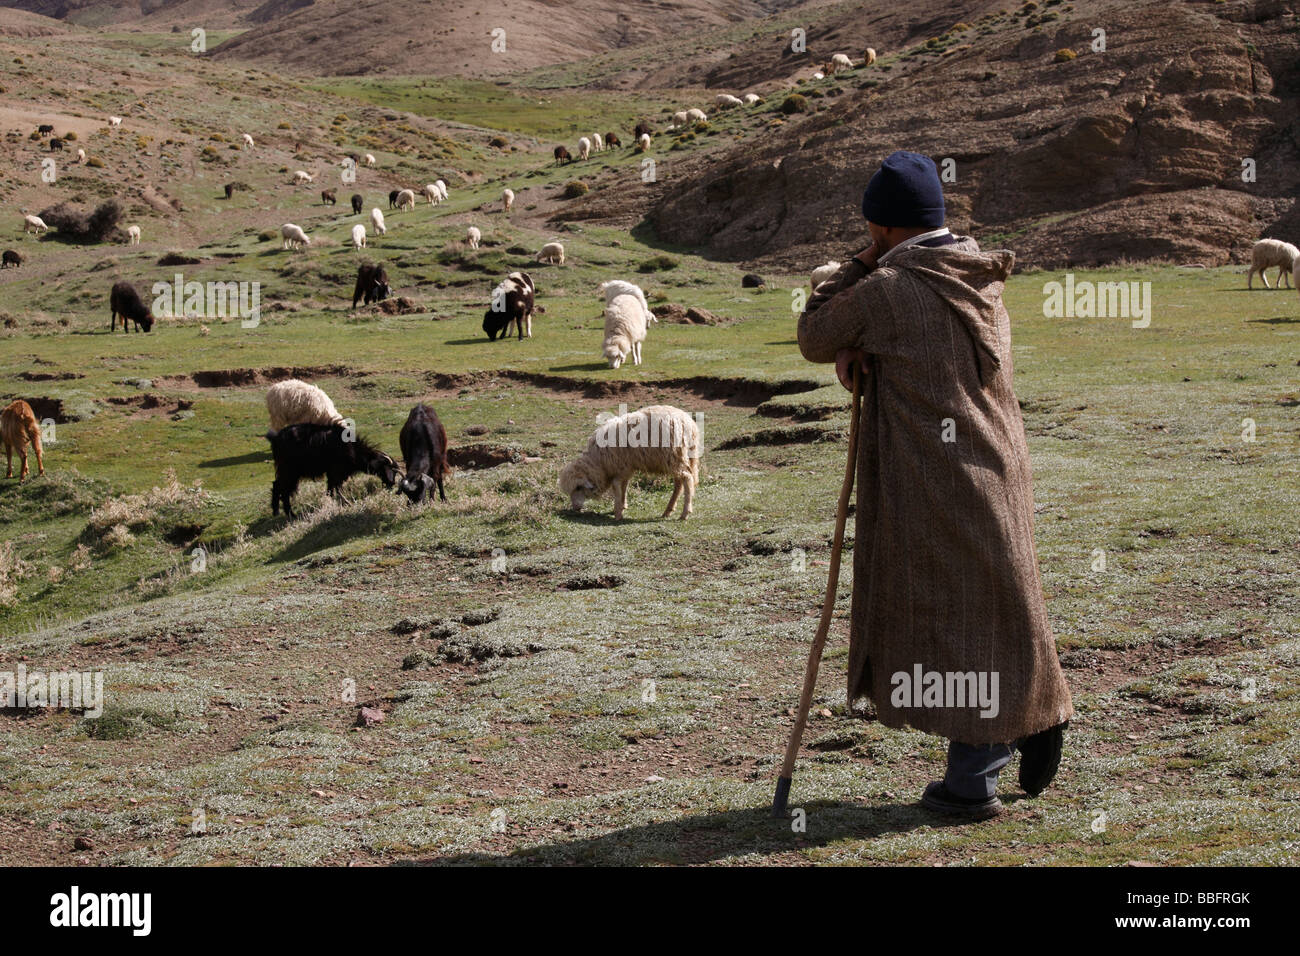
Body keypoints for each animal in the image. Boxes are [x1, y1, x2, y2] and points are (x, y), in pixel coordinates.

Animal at [266, 421, 397, 520]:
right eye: (388, 469)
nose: (392, 484)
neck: (353, 449)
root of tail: (275, 438)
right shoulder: (337, 471)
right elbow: (337, 487)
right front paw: (345, 503)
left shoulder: (332, 473)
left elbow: (330, 489)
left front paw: (331, 502)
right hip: (289, 471)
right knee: (282, 488)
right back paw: (290, 514)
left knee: (278, 486)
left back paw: (277, 512)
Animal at [559, 405, 702, 522]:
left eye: (578, 488)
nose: (575, 508)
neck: (599, 462)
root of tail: (689, 424)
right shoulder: (627, 467)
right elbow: (624, 485)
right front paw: (622, 506)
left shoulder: (622, 466)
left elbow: (616, 485)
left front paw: (618, 513)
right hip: (679, 458)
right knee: (679, 483)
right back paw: (668, 510)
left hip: (673, 455)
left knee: (687, 479)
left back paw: (684, 513)